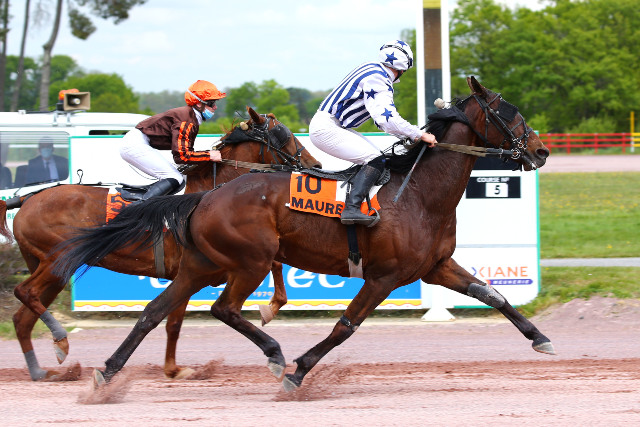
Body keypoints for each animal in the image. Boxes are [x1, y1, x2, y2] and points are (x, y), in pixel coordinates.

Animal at [0, 106, 321, 381]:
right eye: (284, 135)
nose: (314, 164)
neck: (209, 193)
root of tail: (27, 199)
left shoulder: (195, 270)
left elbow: (173, 322)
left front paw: (173, 369)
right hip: (58, 259)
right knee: (25, 292)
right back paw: (60, 339)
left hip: (52, 268)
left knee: (22, 317)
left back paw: (39, 370)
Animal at [53, 77, 554, 390]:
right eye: (509, 113)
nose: (541, 151)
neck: (418, 193)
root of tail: (205, 198)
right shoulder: (385, 276)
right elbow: (346, 324)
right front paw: (300, 370)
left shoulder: (434, 266)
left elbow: (494, 295)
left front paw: (540, 338)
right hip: (249, 261)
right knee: (223, 308)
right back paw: (276, 355)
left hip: (202, 265)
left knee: (154, 311)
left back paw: (107, 373)